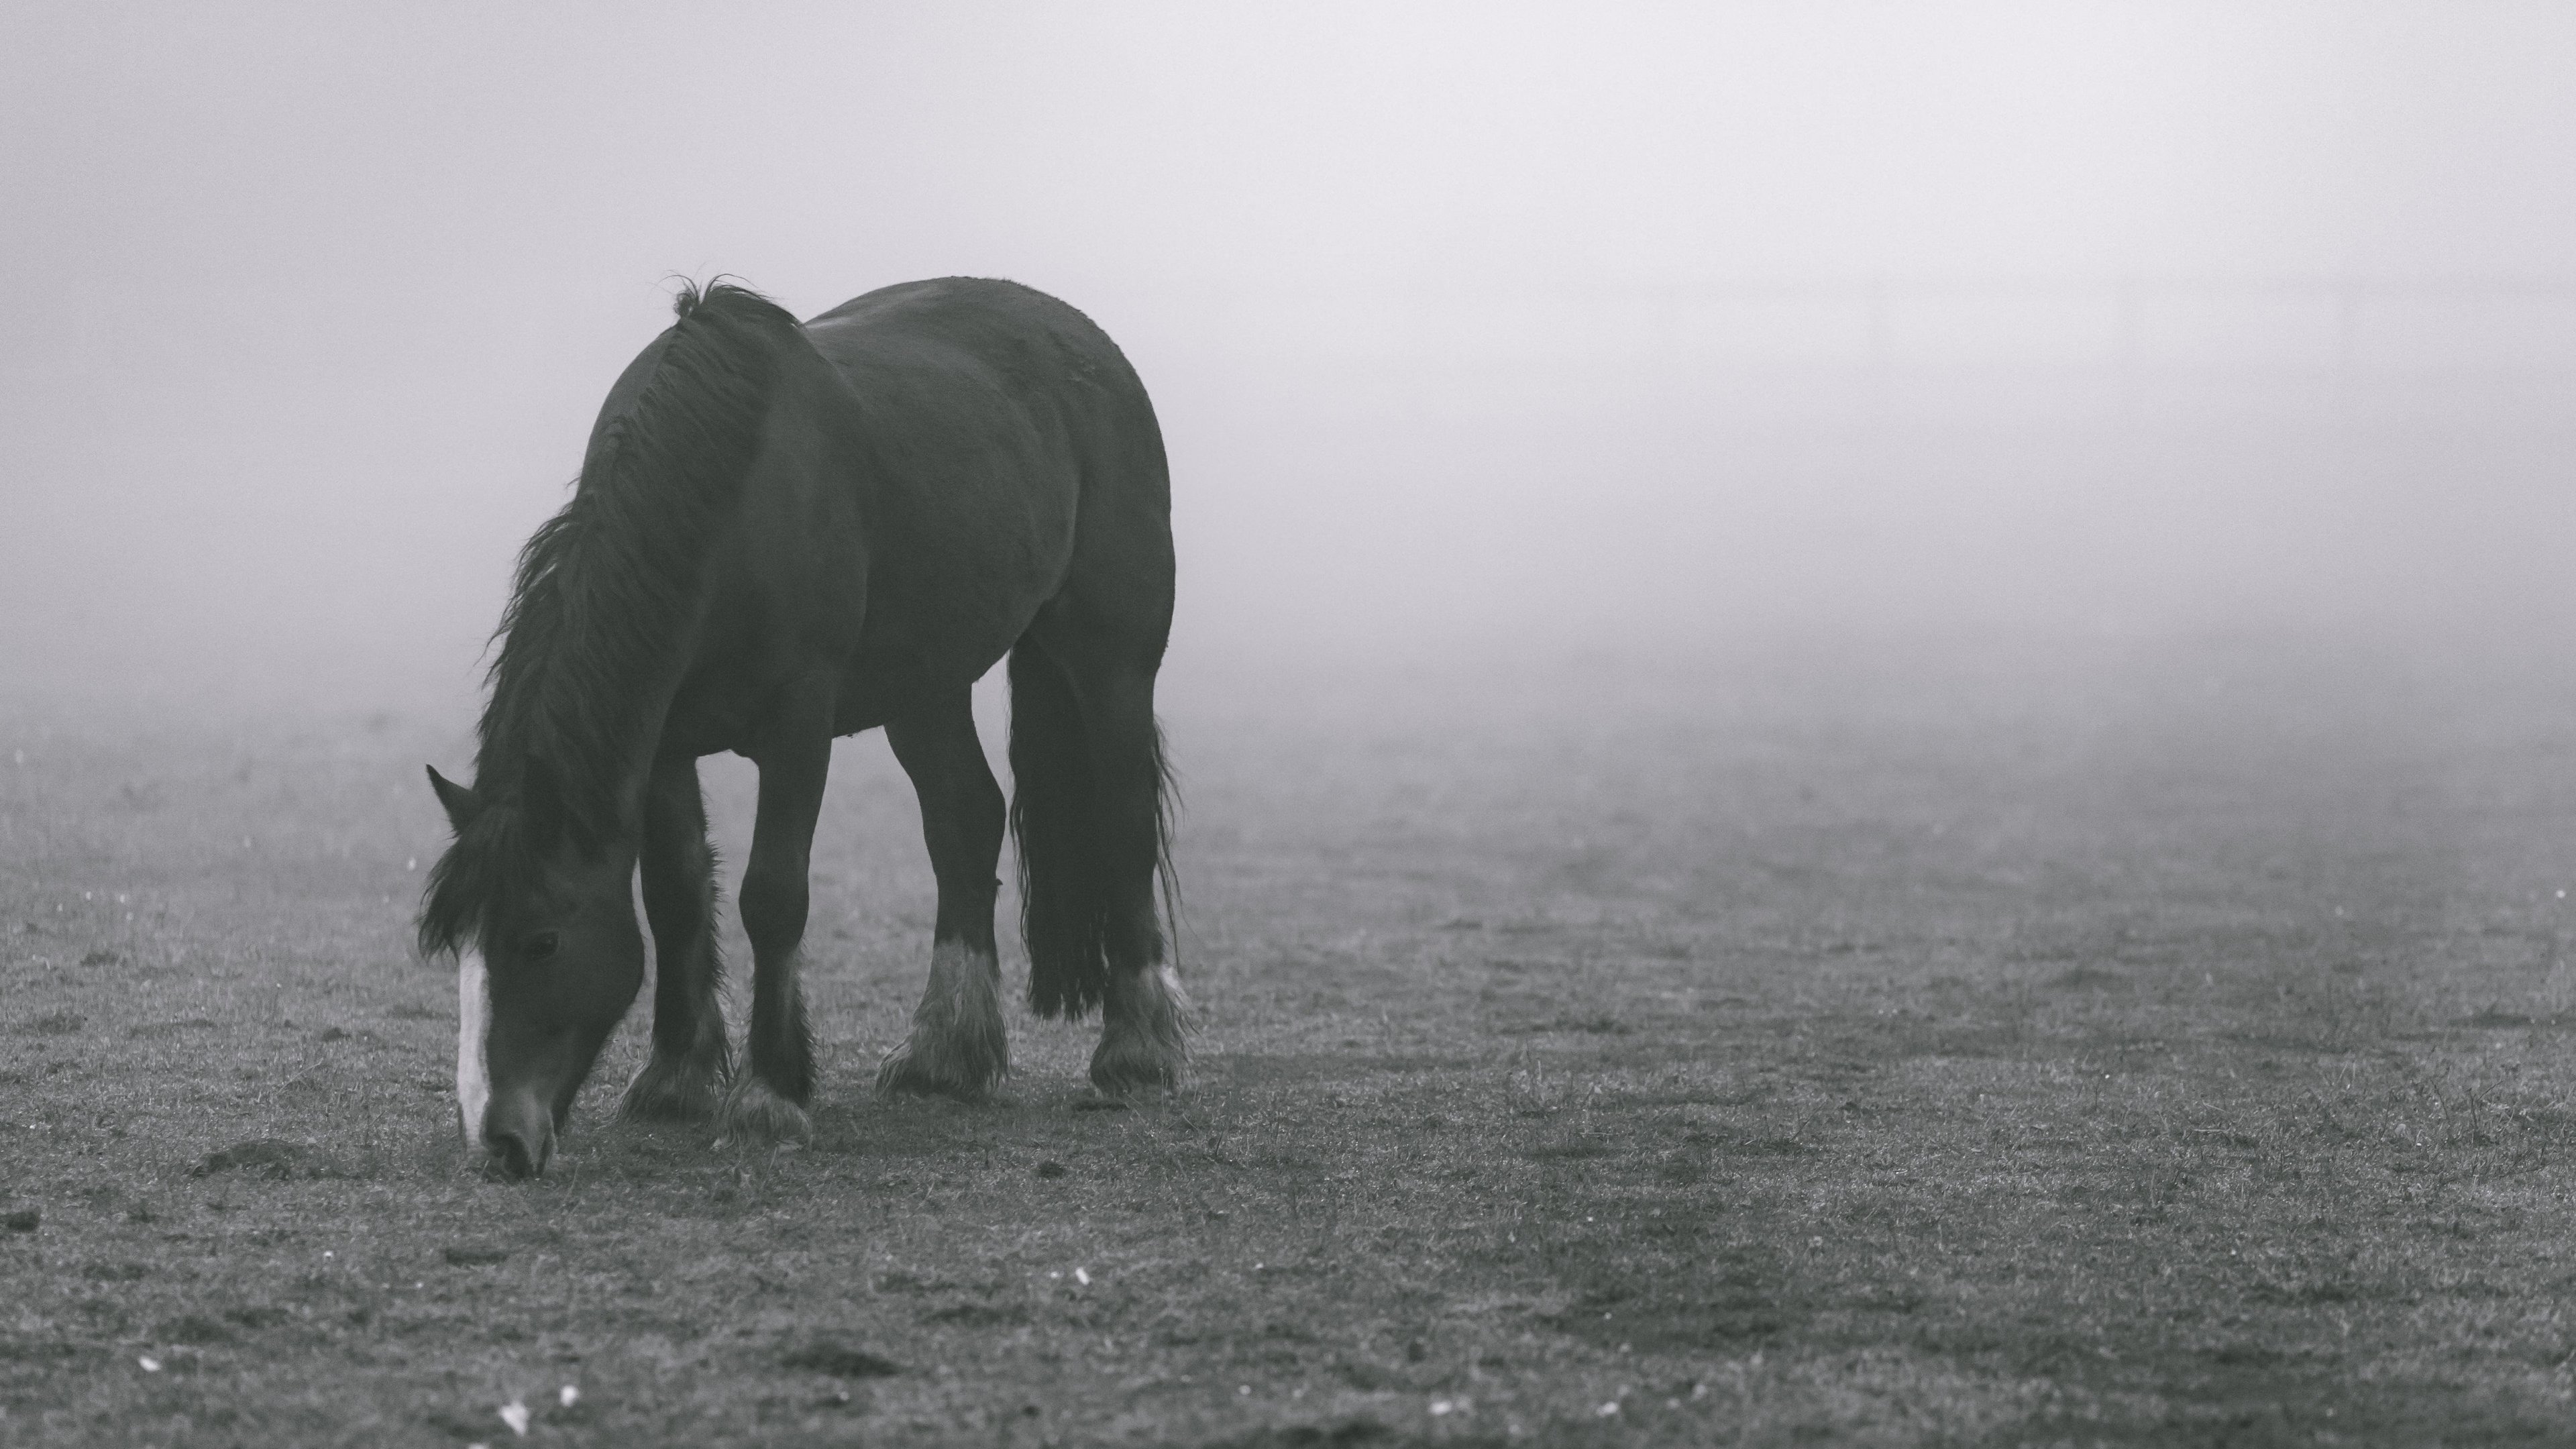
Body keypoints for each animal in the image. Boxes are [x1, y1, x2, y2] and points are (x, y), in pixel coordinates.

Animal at [417, 277, 1184, 1179]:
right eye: (461, 947)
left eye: (540, 941)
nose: (497, 1139)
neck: (726, 503)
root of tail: (1090, 347)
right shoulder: (664, 744)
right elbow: (675, 895)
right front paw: (675, 1077)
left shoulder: (798, 725)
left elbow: (773, 896)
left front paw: (769, 1095)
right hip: (924, 686)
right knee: (965, 820)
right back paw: (944, 1054)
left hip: (1110, 666)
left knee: (1123, 822)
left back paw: (1138, 1047)